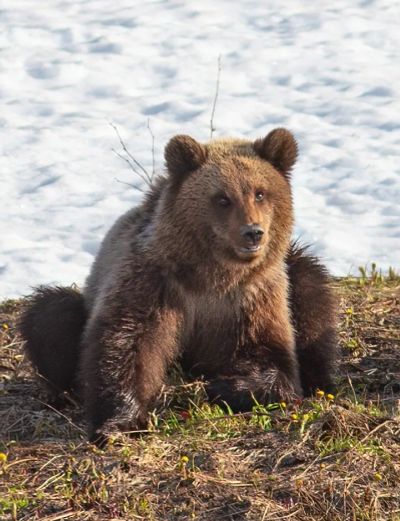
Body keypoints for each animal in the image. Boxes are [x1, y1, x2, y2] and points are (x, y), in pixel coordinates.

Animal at [19, 128, 338, 440]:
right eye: (223, 198)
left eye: (260, 193)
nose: (253, 232)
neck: (212, 275)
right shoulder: (153, 282)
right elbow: (127, 342)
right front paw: (117, 422)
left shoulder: (252, 297)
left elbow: (270, 356)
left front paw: (227, 386)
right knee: (52, 317)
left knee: (310, 287)